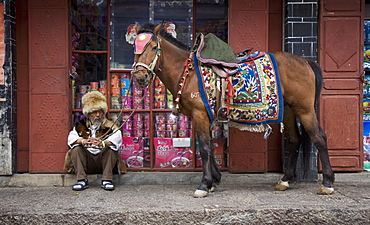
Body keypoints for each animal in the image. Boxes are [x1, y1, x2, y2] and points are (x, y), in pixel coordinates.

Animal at [132, 23, 334, 198]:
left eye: (152, 47)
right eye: (135, 48)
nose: (140, 77)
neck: (188, 72)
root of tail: (306, 61)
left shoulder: (200, 114)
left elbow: (204, 148)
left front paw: (204, 185)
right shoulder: (204, 116)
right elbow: (210, 146)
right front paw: (214, 180)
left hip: (305, 109)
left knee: (319, 138)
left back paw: (327, 183)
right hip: (290, 111)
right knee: (293, 140)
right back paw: (285, 181)